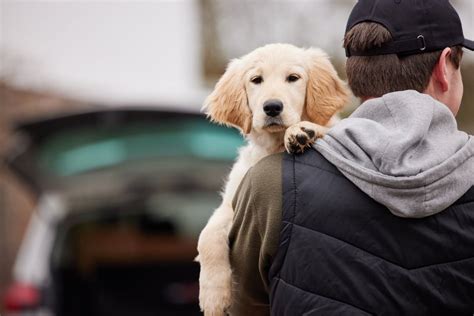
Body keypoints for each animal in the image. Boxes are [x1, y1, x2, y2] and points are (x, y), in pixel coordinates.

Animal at [196, 43, 348, 314]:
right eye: (256, 80)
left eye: (293, 78)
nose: (272, 107)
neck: (273, 146)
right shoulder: (231, 205)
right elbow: (207, 236)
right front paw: (213, 296)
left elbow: (328, 129)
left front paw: (303, 131)